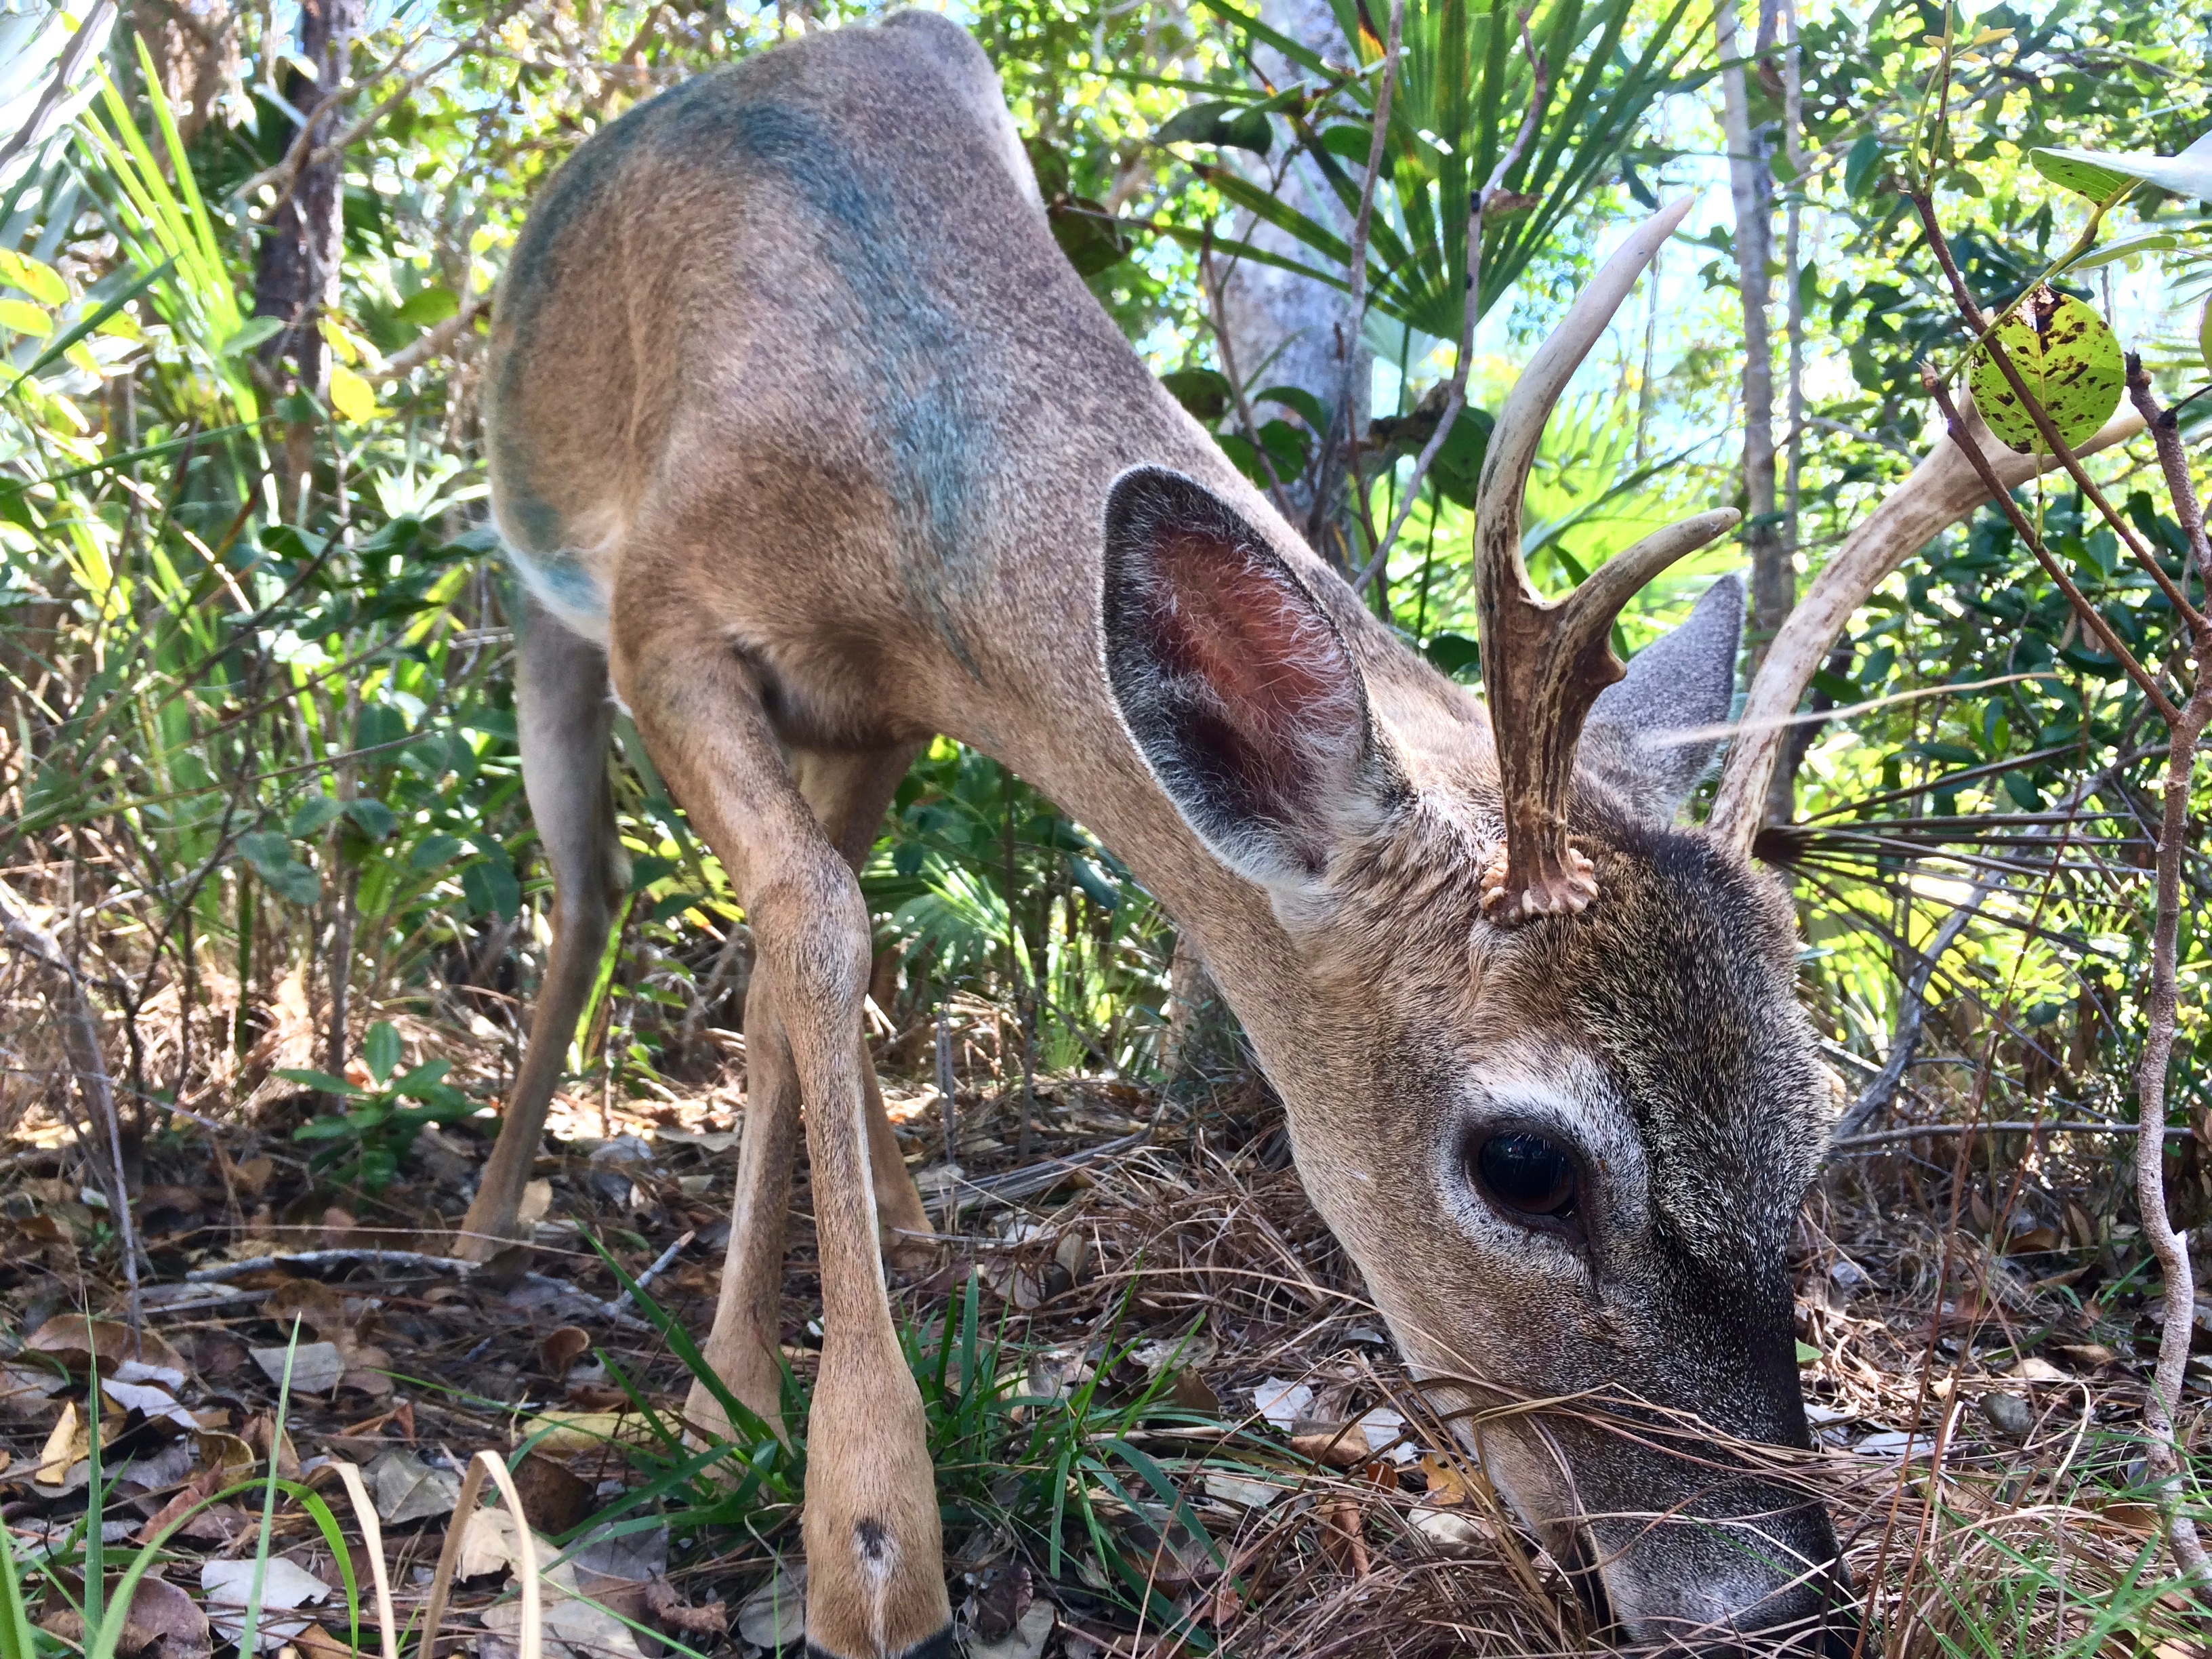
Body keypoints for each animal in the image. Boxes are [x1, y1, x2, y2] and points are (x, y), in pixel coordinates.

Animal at [445, 9, 1920, 1654]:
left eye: (1812, 1120)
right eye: (1526, 1164)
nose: (1780, 1607)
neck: (890, 494)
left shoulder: (885, 711)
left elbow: (797, 952)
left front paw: (769, 1406)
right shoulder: (664, 618)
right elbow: (814, 926)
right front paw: (848, 1512)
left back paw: (898, 1213)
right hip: (530, 586)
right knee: (596, 886)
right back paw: (490, 1224)